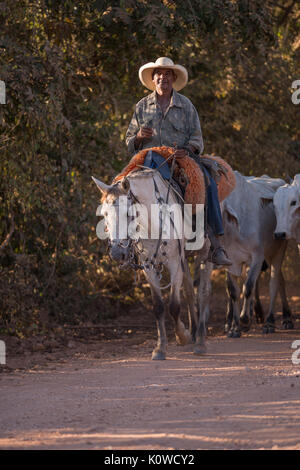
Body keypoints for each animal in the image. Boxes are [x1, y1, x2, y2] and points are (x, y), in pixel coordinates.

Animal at [221, 171, 292, 336]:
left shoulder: (257, 257)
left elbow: (248, 287)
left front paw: (244, 319)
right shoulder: (230, 261)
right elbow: (233, 292)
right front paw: (234, 328)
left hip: (277, 249)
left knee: (275, 282)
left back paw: (277, 321)